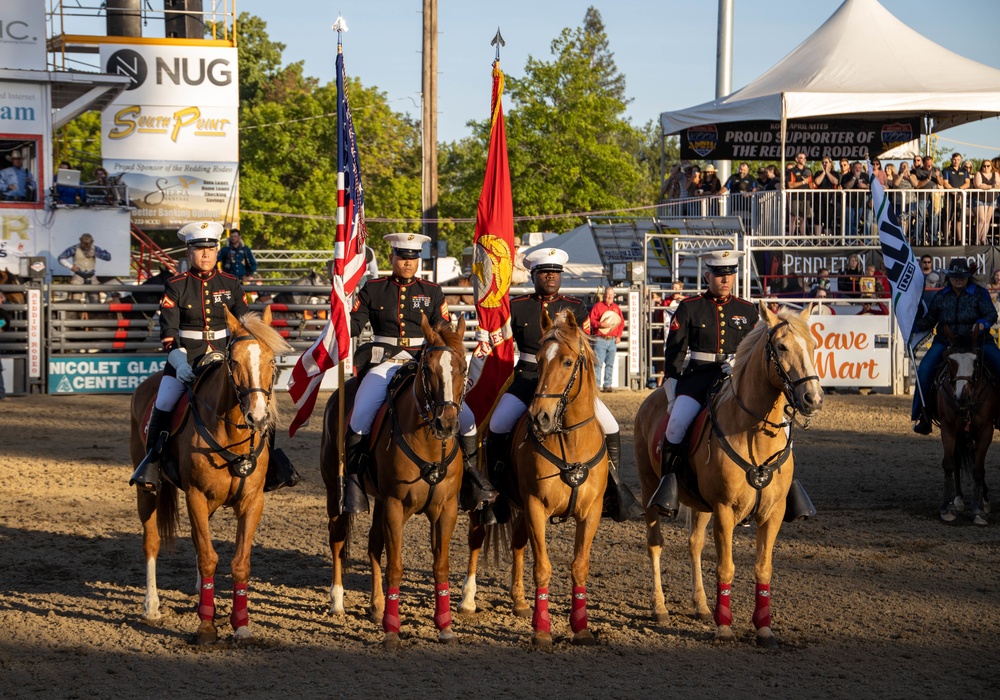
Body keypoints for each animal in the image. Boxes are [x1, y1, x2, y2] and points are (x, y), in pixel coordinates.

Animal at [131, 306, 292, 644]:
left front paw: (241, 624)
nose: (258, 417)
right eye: (235, 361)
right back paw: (151, 606)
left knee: (196, 539)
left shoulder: (251, 501)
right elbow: (208, 557)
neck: (232, 434)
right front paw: (206, 626)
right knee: (152, 542)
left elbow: (239, 563)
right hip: (147, 490)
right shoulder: (196, 496)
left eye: (272, 361)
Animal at [324, 314, 472, 648]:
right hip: (335, 494)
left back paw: (377, 606)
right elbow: (395, 566)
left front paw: (445, 626)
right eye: (428, 369)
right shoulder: (394, 505)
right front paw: (392, 630)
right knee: (338, 541)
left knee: (372, 545)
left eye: (463, 367)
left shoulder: (446, 509)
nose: (447, 423)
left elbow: (440, 566)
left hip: (379, 501)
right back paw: (337, 601)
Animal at [462, 308, 604, 648]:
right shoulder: (536, 506)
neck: (570, 443)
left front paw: (581, 628)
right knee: (476, 539)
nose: (540, 417)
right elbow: (542, 567)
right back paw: (467, 600)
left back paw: (519, 601)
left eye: (568, 361)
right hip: (487, 504)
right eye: (538, 361)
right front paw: (542, 630)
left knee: (516, 543)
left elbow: (579, 567)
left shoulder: (590, 512)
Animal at [636, 304, 824, 648]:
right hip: (649, 491)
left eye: (813, 346)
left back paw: (700, 605)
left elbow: (763, 568)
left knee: (694, 544)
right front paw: (724, 626)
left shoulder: (772, 514)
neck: (754, 434)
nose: (813, 399)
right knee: (655, 544)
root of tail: (652, 398)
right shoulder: (724, 511)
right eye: (781, 347)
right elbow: (725, 567)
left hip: (698, 504)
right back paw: (660, 608)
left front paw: (763, 629)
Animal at [936, 342, 992, 524]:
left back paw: (984, 500)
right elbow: (949, 463)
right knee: (957, 460)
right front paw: (946, 508)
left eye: (976, 363)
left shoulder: (986, 431)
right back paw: (959, 499)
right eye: (950, 362)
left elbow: (978, 469)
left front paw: (978, 510)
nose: (962, 398)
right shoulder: (947, 428)